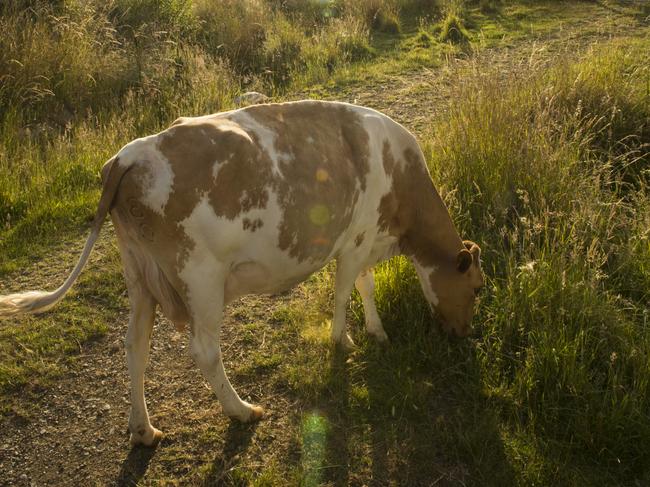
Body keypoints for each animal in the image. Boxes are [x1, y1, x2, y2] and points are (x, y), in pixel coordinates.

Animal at [0, 101, 480, 448]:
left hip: (139, 274)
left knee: (135, 345)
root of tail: (129, 154)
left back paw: (144, 431)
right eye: (476, 289)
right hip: (201, 277)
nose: (462, 334)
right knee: (204, 350)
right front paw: (343, 339)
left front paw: (377, 332)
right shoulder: (356, 240)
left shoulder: (366, 240)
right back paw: (242, 410)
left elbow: (366, 285)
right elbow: (347, 289)